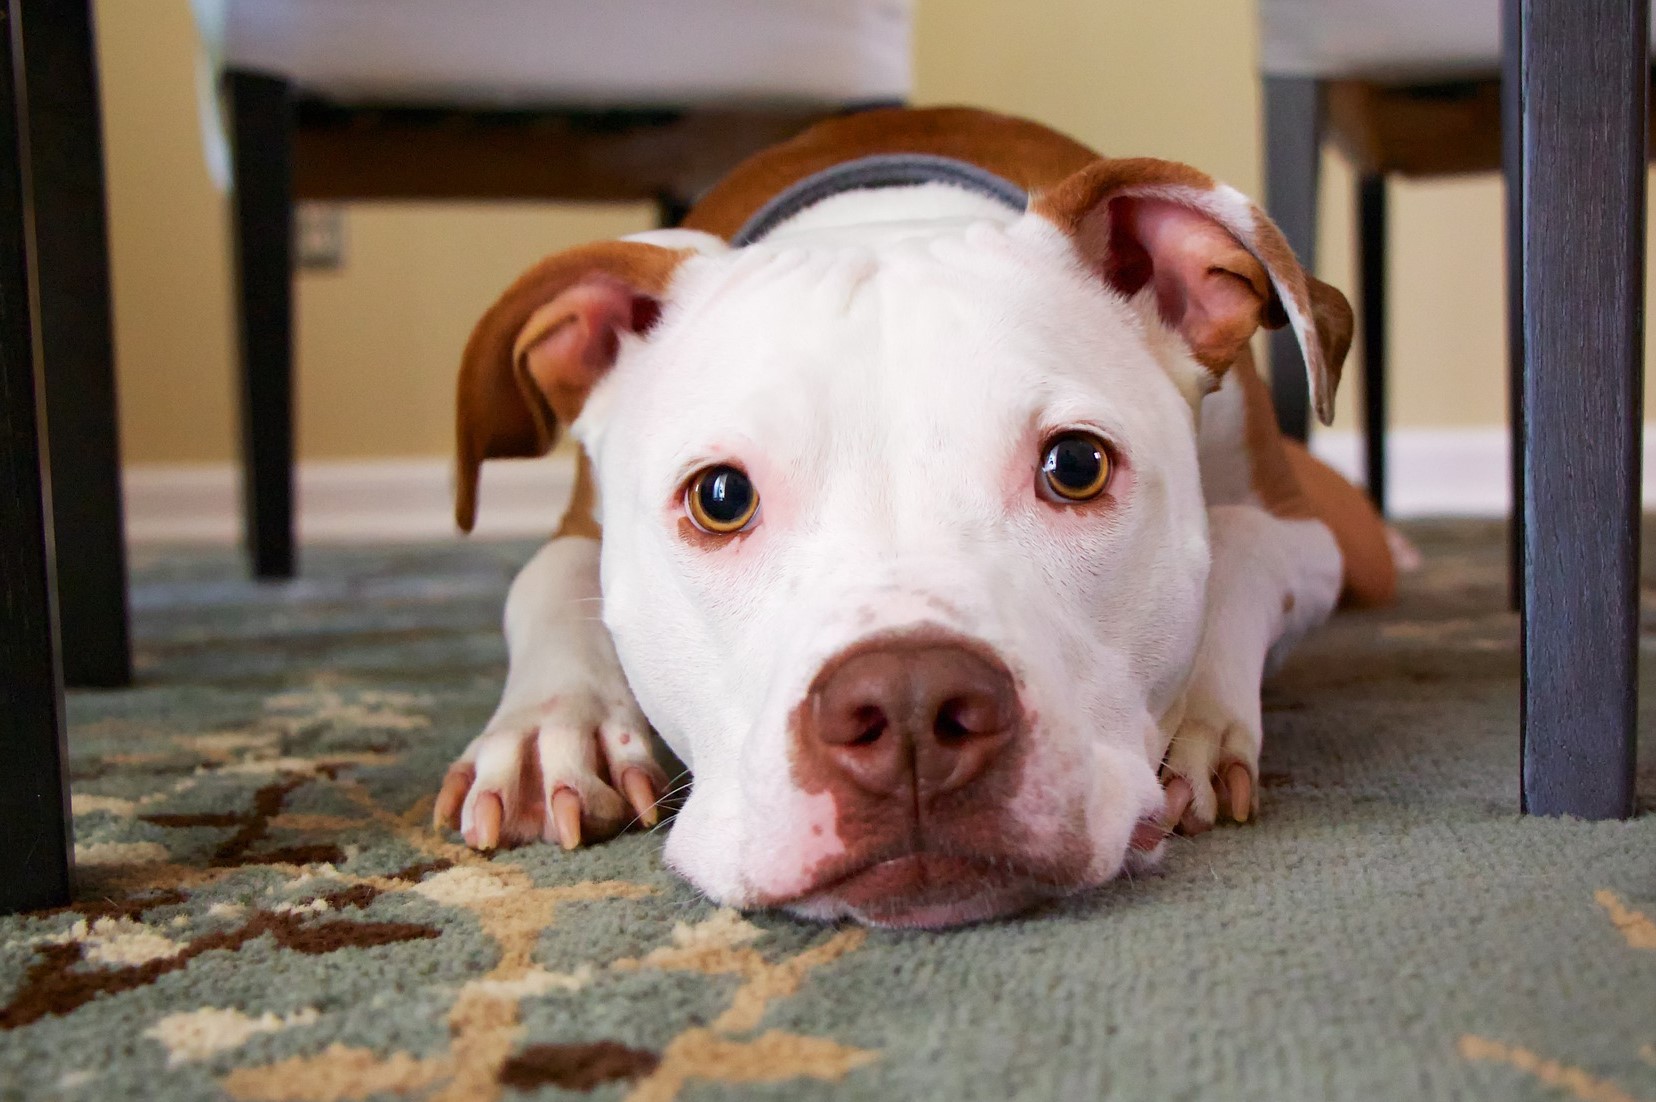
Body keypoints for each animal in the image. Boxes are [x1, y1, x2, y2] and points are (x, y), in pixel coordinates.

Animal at [433, 107, 1391, 928]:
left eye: (1076, 466)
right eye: (721, 497)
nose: (909, 706)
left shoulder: (1305, 533)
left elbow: (1240, 543)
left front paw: (1197, 717)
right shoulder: (580, 528)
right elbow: (544, 577)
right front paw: (551, 731)